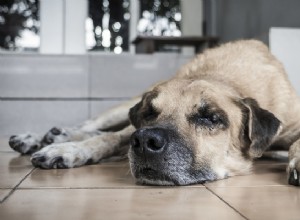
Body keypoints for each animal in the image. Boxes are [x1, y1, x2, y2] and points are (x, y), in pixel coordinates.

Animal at [8, 39, 300, 186]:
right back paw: (46, 137)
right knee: (93, 125)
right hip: (121, 108)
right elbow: (109, 138)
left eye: (211, 118)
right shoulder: (133, 123)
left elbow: (295, 142)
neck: (227, 80)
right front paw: (69, 150)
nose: (145, 141)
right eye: (150, 112)